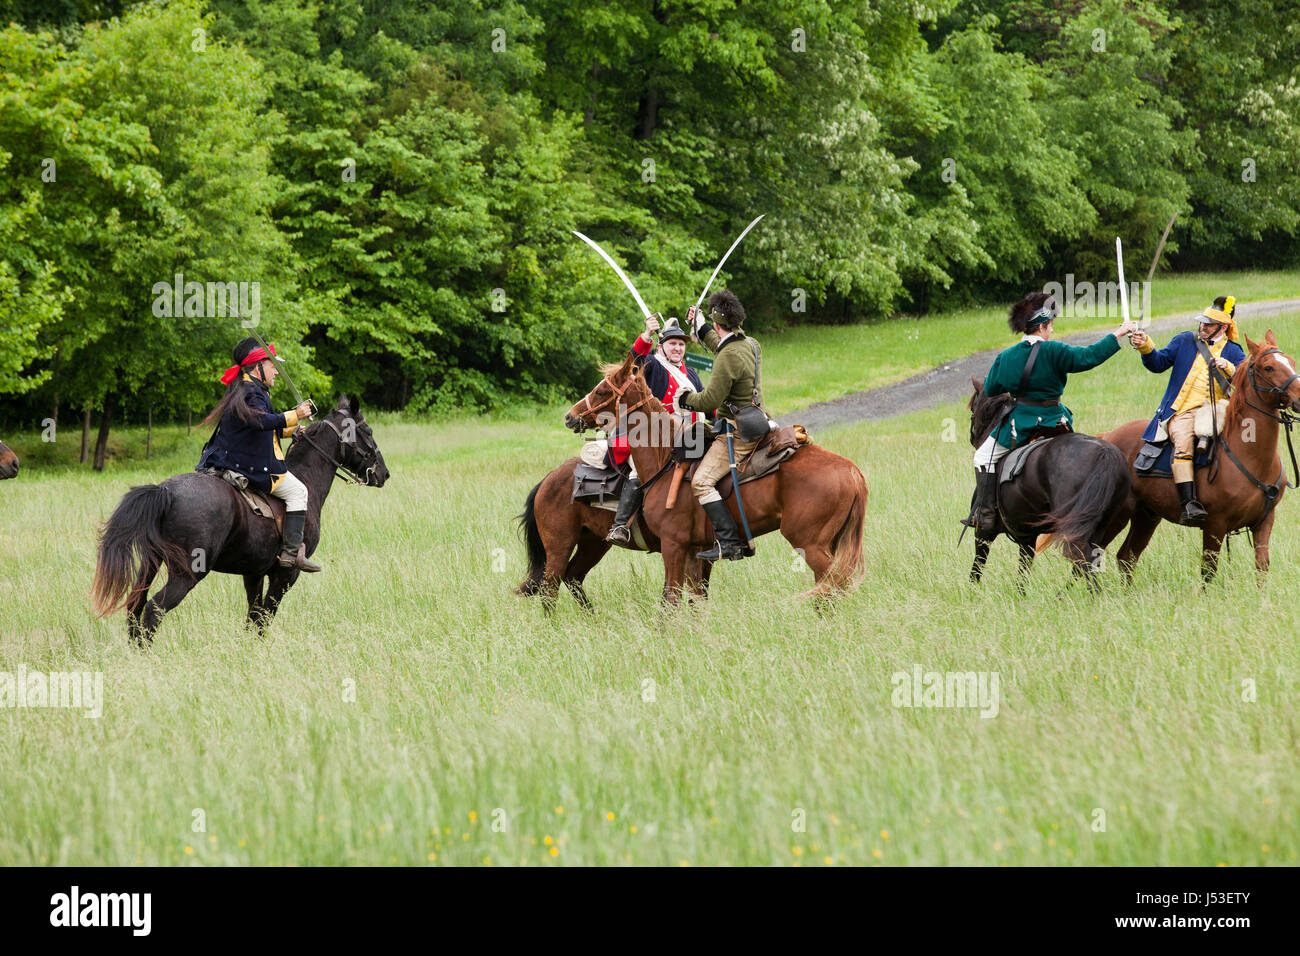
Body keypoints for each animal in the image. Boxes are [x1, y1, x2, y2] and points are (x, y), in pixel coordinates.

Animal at [91, 392, 384, 647]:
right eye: (368, 432)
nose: (384, 473)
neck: (307, 481)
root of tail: (165, 491)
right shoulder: (285, 574)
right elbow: (265, 616)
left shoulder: (253, 572)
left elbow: (253, 617)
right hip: (186, 573)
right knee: (154, 609)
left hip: (151, 562)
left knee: (135, 604)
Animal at [556, 351, 863, 606]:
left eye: (602, 390)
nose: (569, 416)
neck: (666, 458)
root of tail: (852, 471)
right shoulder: (695, 550)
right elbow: (695, 599)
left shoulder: (674, 545)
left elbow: (670, 598)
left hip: (809, 544)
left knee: (832, 585)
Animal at [972, 379, 1133, 590]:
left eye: (973, 409)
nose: (973, 437)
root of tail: (1105, 454)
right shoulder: (1027, 534)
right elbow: (1024, 567)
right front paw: (1020, 593)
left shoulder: (984, 531)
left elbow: (978, 562)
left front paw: (972, 591)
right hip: (1103, 525)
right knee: (1088, 558)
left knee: (1082, 557)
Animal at [1102, 329, 1300, 582]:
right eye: (1268, 367)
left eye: (1291, 362)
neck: (1250, 455)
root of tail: (1107, 437)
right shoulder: (1215, 526)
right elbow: (1209, 571)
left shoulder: (1264, 521)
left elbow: (1262, 567)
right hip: (1115, 514)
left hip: (1146, 516)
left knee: (1126, 558)